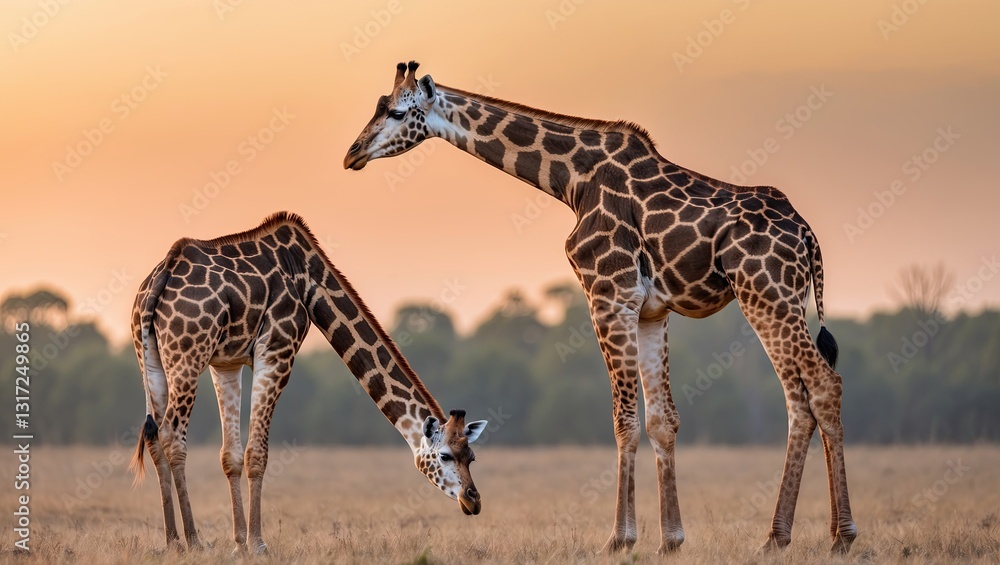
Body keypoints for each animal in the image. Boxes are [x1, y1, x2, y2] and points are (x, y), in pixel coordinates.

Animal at [127, 211, 488, 553]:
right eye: (445, 456)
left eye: (471, 456)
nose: (474, 500)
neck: (308, 279)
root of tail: (160, 277)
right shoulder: (277, 350)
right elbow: (257, 453)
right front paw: (258, 544)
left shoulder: (226, 362)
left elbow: (230, 456)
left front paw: (239, 543)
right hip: (188, 356)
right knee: (172, 435)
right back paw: (193, 541)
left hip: (150, 358)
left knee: (154, 436)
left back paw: (173, 541)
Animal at [343, 62, 857, 554]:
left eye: (395, 112)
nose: (352, 154)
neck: (573, 180)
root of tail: (806, 235)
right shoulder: (651, 311)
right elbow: (662, 420)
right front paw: (670, 540)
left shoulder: (608, 294)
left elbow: (624, 421)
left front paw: (619, 538)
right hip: (782, 299)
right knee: (802, 398)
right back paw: (788, 536)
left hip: (766, 295)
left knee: (821, 386)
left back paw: (834, 535)